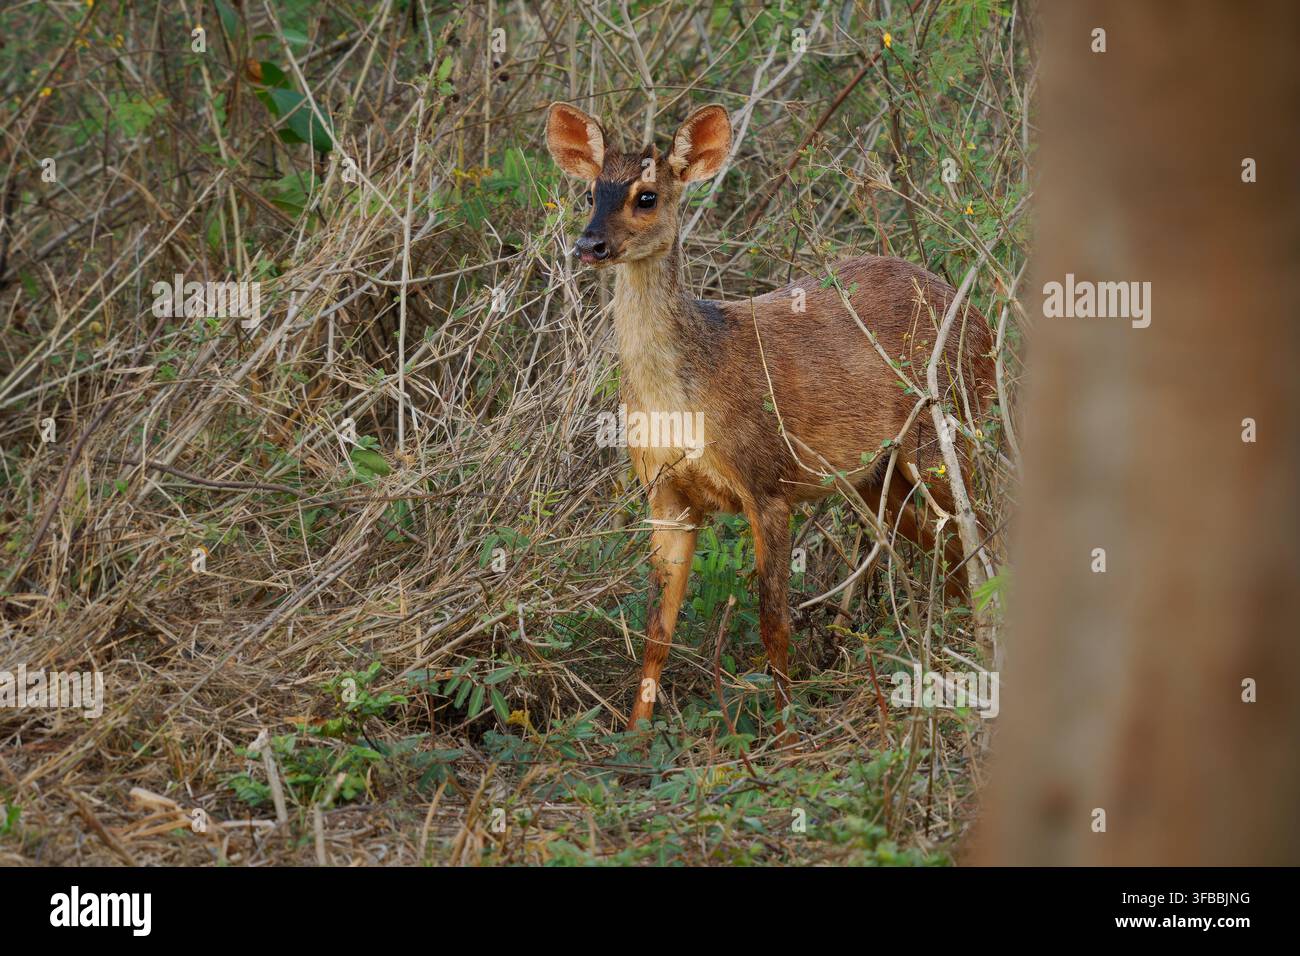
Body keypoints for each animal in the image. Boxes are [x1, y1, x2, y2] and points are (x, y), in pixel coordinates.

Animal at [545, 101, 996, 744]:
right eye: (590, 193)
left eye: (646, 196)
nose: (590, 244)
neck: (684, 394)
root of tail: (981, 322)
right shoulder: (666, 493)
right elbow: (658, 629)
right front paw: (633, 736)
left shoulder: (767, 482)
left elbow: (773, 619)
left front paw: (783, 733)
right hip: (876, 475)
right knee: (947, 544)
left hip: (943, 431)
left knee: (981, 535)